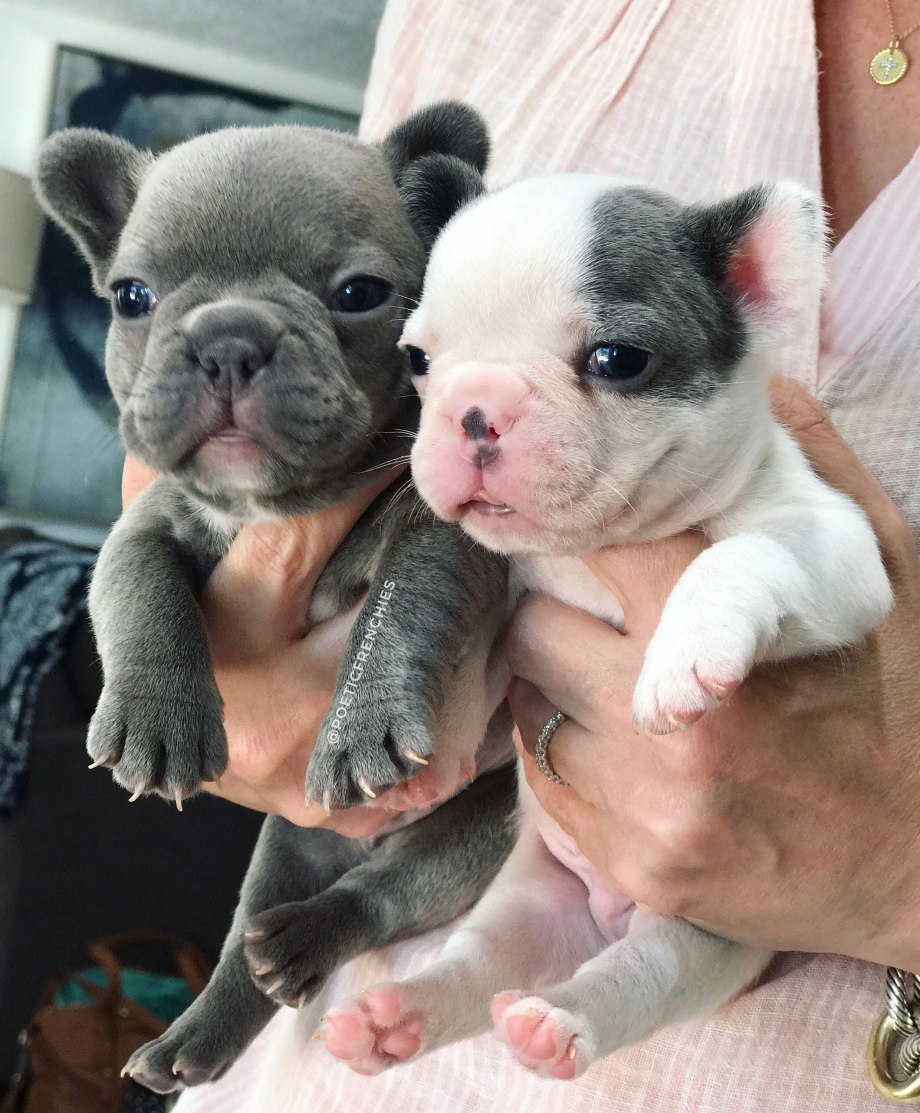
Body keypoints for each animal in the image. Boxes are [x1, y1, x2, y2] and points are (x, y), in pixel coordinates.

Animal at [34, 104, 518, 1092]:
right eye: (132, 297)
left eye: (361, 292)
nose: (227, 339)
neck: (279, 503)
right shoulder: (143, 525)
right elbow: (141, 593)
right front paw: (156, 719)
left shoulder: (442, 531)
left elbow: (403, 604)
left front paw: (361, 723)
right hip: (284, 845)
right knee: (243, 947)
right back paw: (191, 1039)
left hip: (480, 829)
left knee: (377, 898)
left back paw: (305, 939)